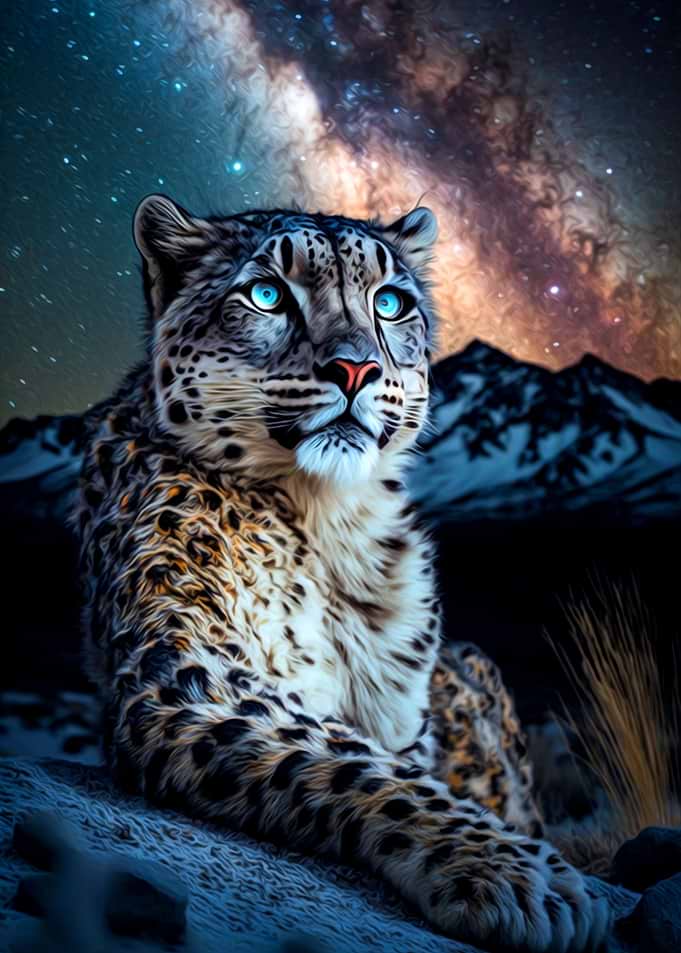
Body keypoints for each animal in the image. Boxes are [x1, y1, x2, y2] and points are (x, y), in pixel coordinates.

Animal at [76, 193, 611, 951]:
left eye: (390, 302)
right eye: (267, 294)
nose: (356, 370)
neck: (329, 524)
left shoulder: (404, 716)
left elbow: (390, 756)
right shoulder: (187, 662)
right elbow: (346, 756)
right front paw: (522, 877)